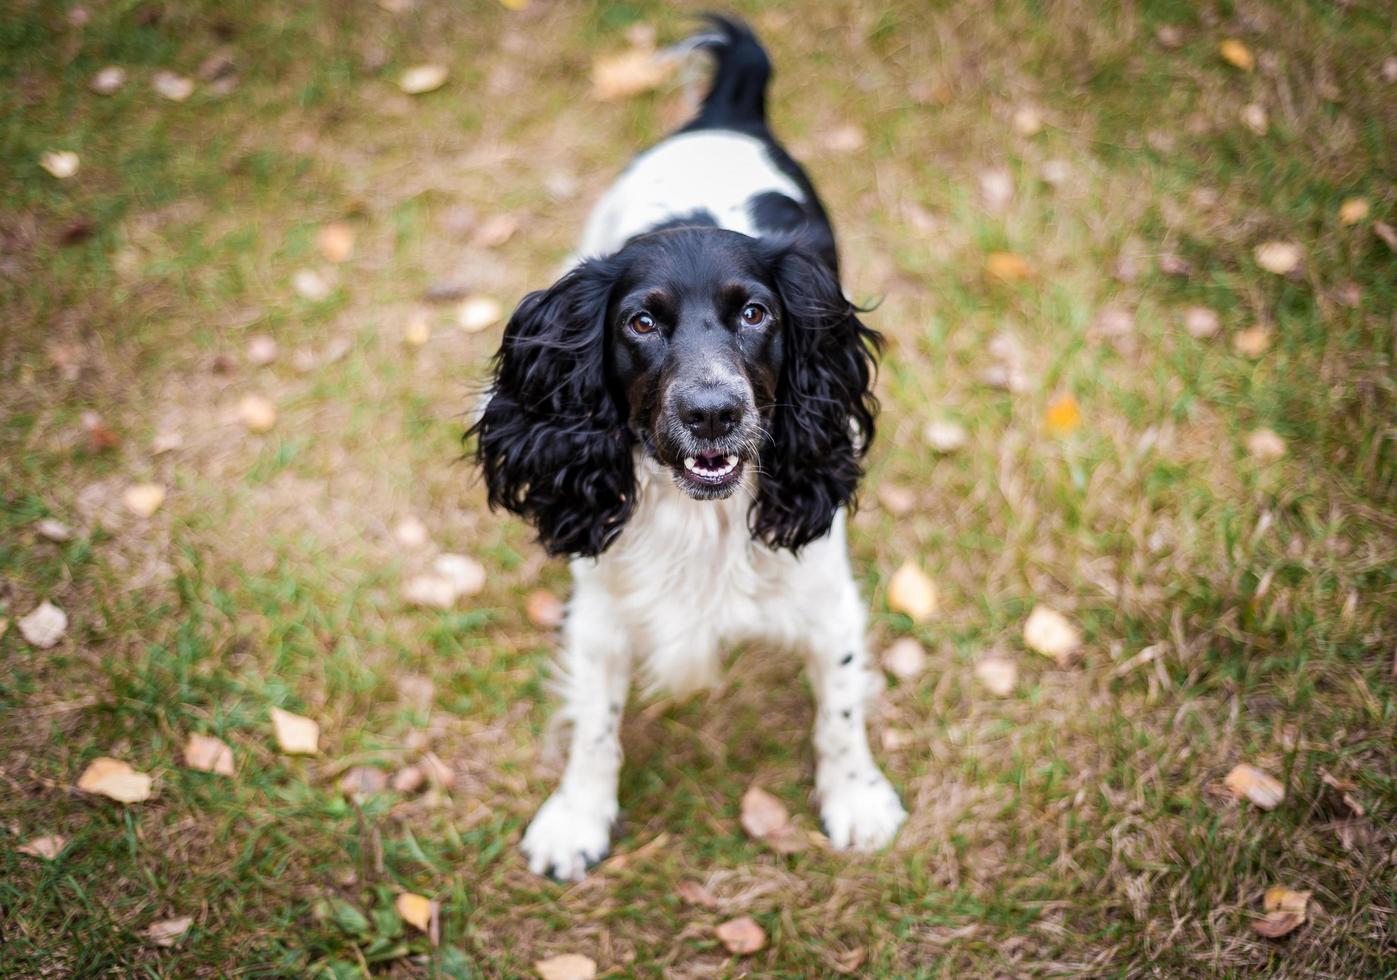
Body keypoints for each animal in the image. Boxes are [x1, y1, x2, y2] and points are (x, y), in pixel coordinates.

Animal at [469, 15, 905, 882]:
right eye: (641, 321)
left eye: (755, 314)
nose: (712, 412)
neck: (700, 517)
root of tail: (728, 109)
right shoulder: (600, 609)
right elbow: (594, 724)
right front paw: (577, 818)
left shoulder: (828, 598)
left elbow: (839, 710)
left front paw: (856, 800)